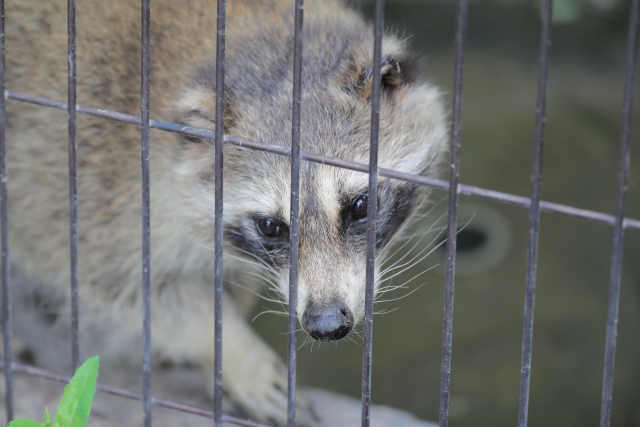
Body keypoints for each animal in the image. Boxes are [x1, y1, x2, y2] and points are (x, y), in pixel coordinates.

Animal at [3, 0, 444, 424]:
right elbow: (132, 287)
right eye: (270, 226)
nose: (327, 324)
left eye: (360, 205)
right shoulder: (88, 190)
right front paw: (231, 351)